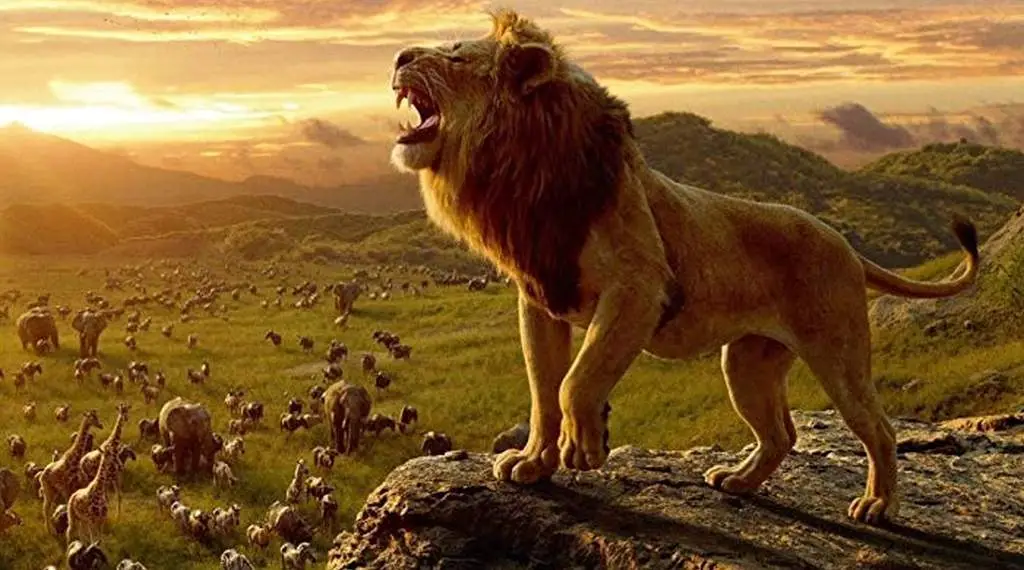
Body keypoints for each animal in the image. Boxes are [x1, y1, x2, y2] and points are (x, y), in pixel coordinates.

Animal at [387, 9, 980, 526]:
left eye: (456, 55)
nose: (398, 56)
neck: (521, 174)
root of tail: (847, 245)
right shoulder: (540, 299)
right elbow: (542, 392)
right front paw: (533, 464)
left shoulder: (639, 287)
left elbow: (576, 381)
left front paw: (584, 449)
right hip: (747, 363)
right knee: (781, 434)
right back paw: (737, 482)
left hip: (837, 354)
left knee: (878, 428)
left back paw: (877, 505)